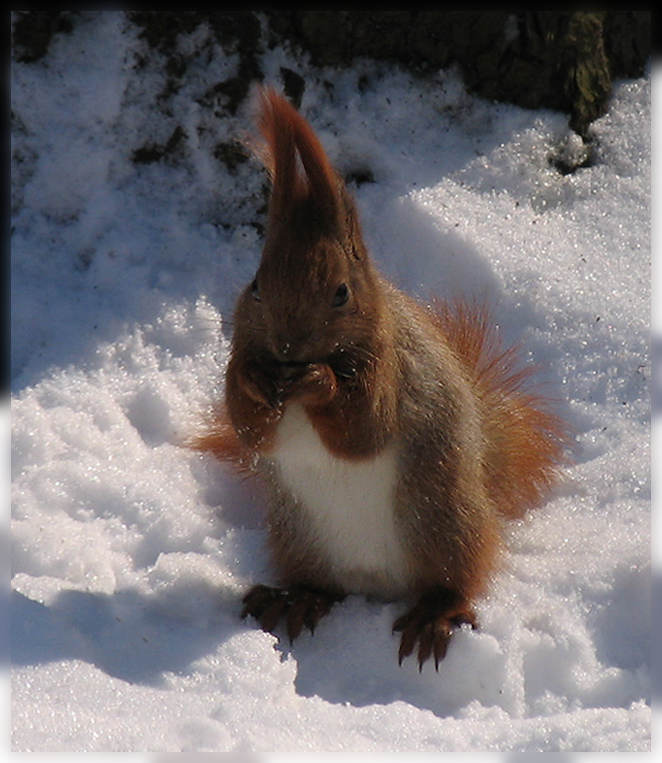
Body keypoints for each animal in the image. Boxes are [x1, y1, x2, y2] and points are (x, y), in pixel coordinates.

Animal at [196, 88, 572, 668]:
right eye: (255, 285)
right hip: (299, 538)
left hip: (445, 523)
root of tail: (374, 586)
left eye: (342, 292)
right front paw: (253, 384)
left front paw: (319, 382)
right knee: (320, 586)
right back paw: (294, 599)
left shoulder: (394, 371)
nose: (287, 347)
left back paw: (433, 616)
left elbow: (363, 429)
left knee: (458, 580)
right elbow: (250, 430)